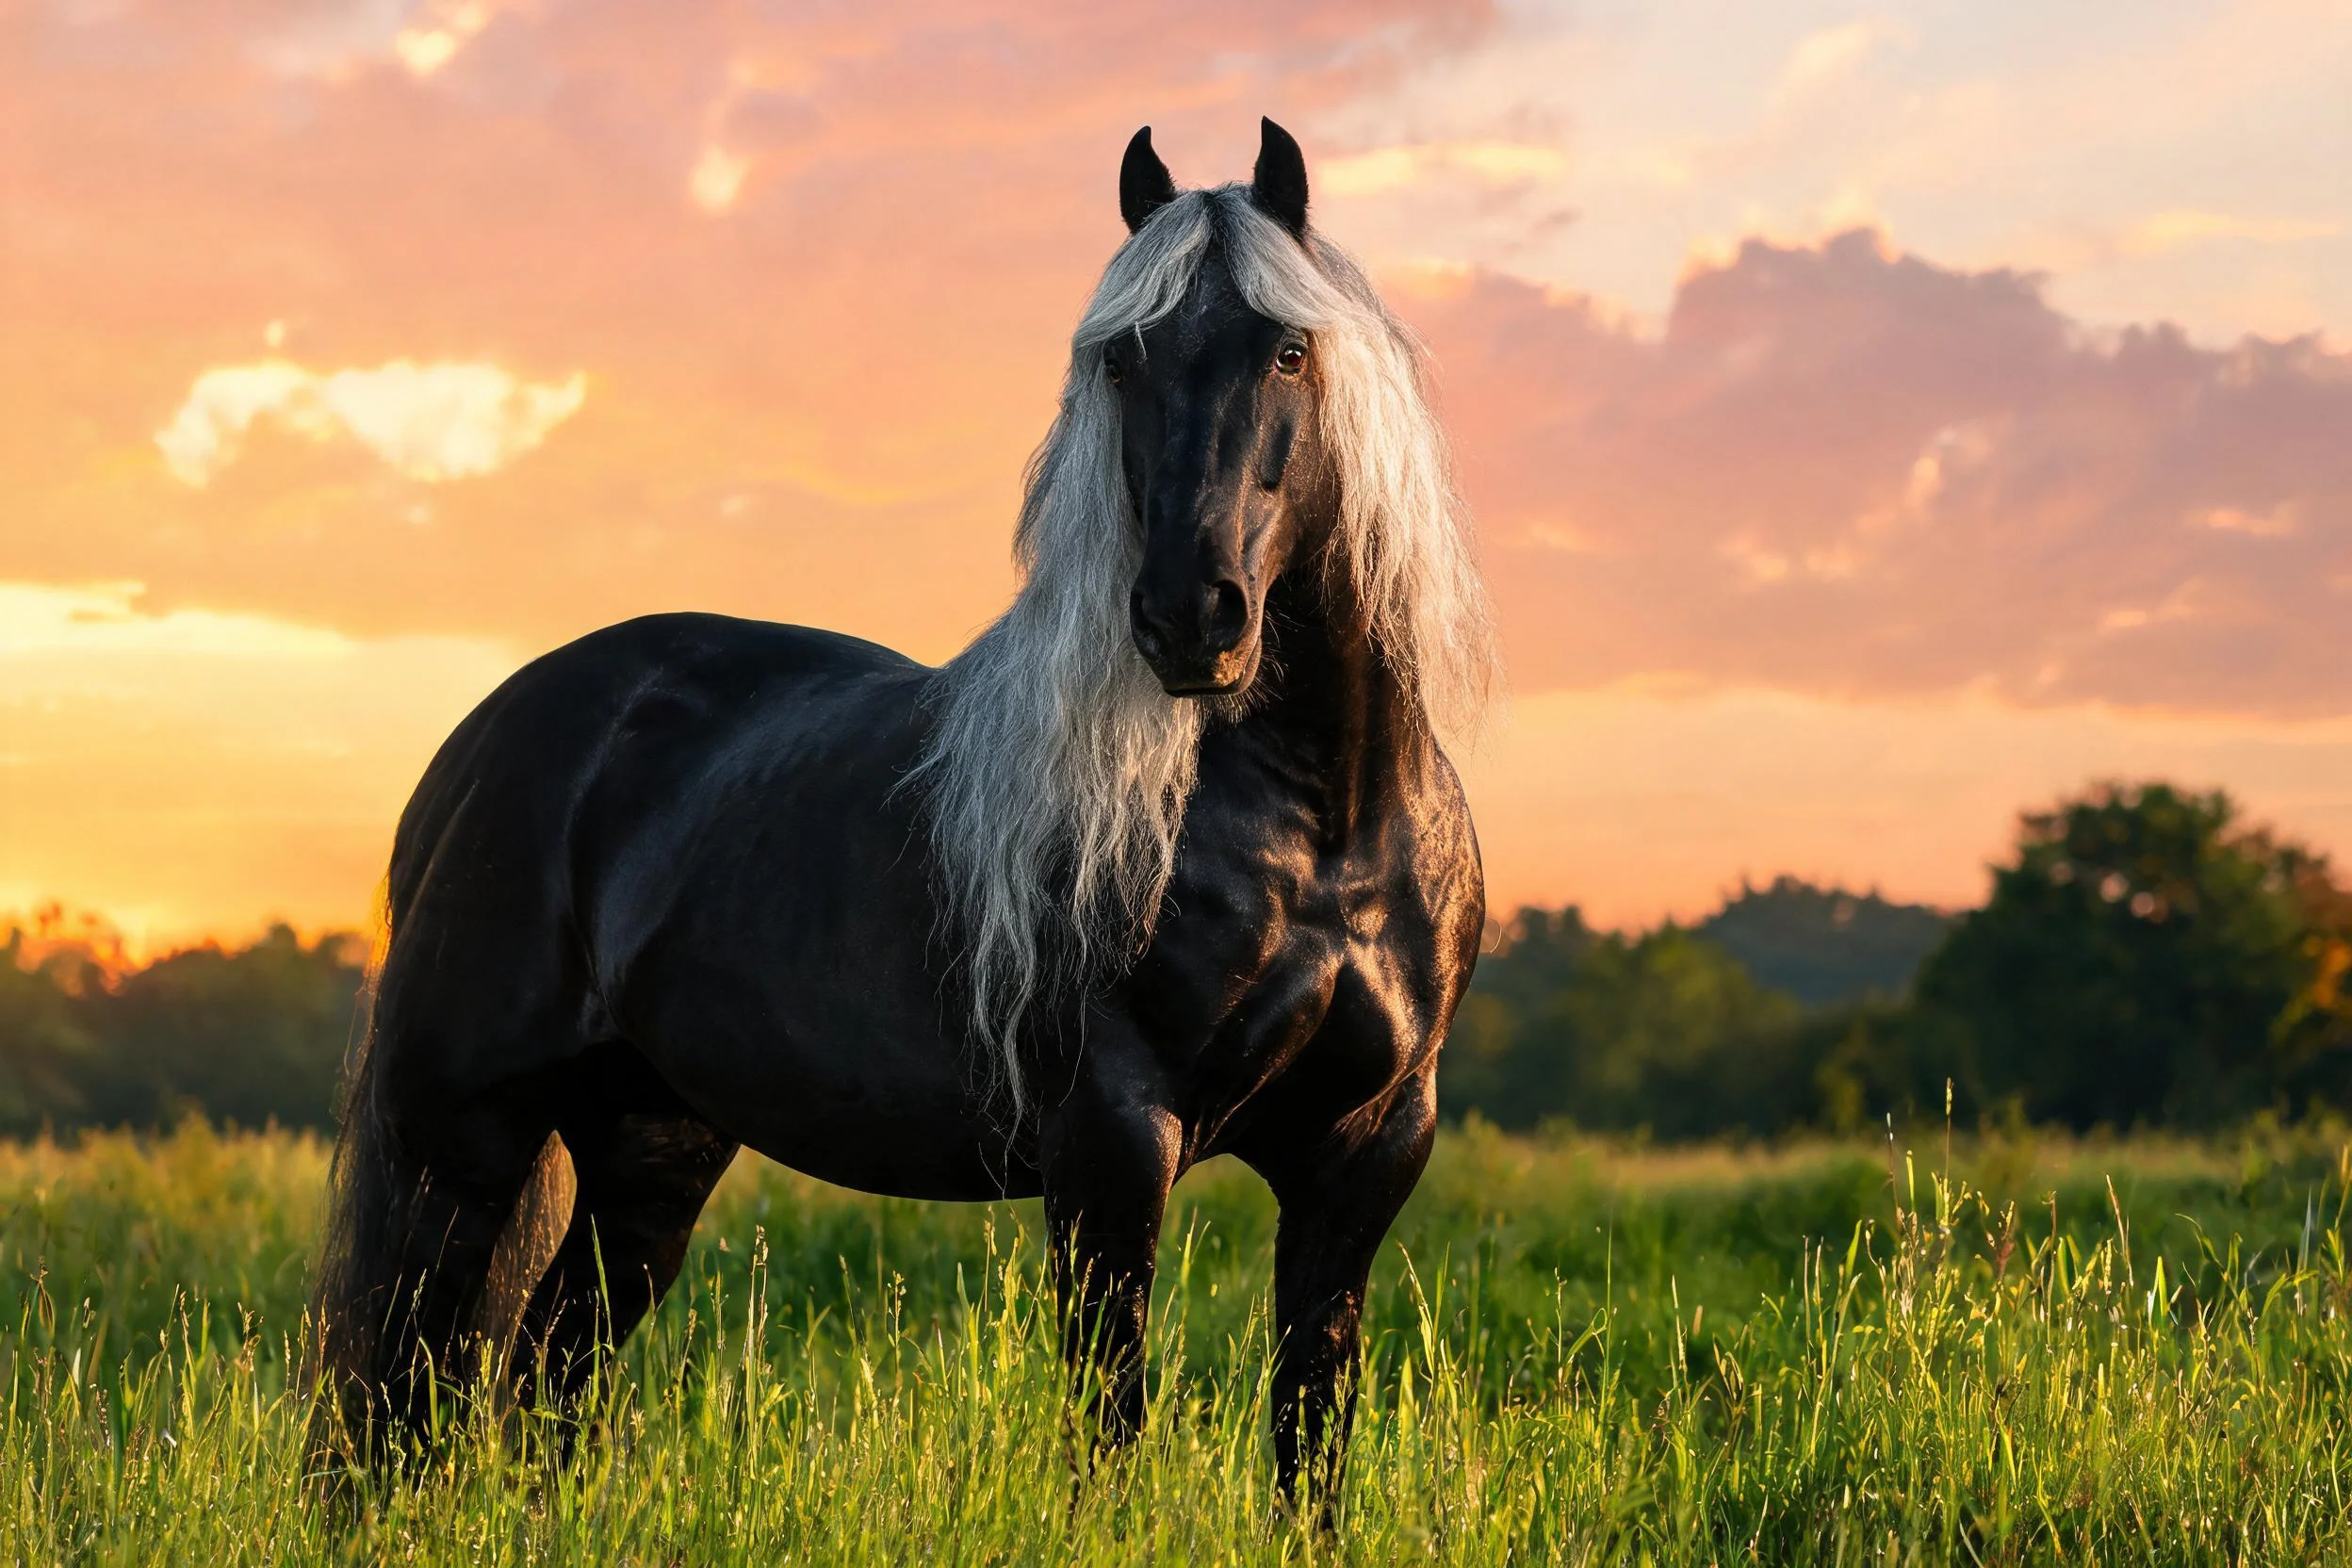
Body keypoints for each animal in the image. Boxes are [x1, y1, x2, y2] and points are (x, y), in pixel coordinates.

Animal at [312, 116, 1498, 1514]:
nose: (1186, 617)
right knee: (393, 1393)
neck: (1323, 828)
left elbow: (1312, 1434)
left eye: (1290, 349)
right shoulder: (1114, 1136)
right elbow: (1110, 1419)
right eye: (1124, 356)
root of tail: (490, 737)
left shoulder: (1361, 1151)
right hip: (461, 1140)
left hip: (647, 1149)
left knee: (547, 1364)